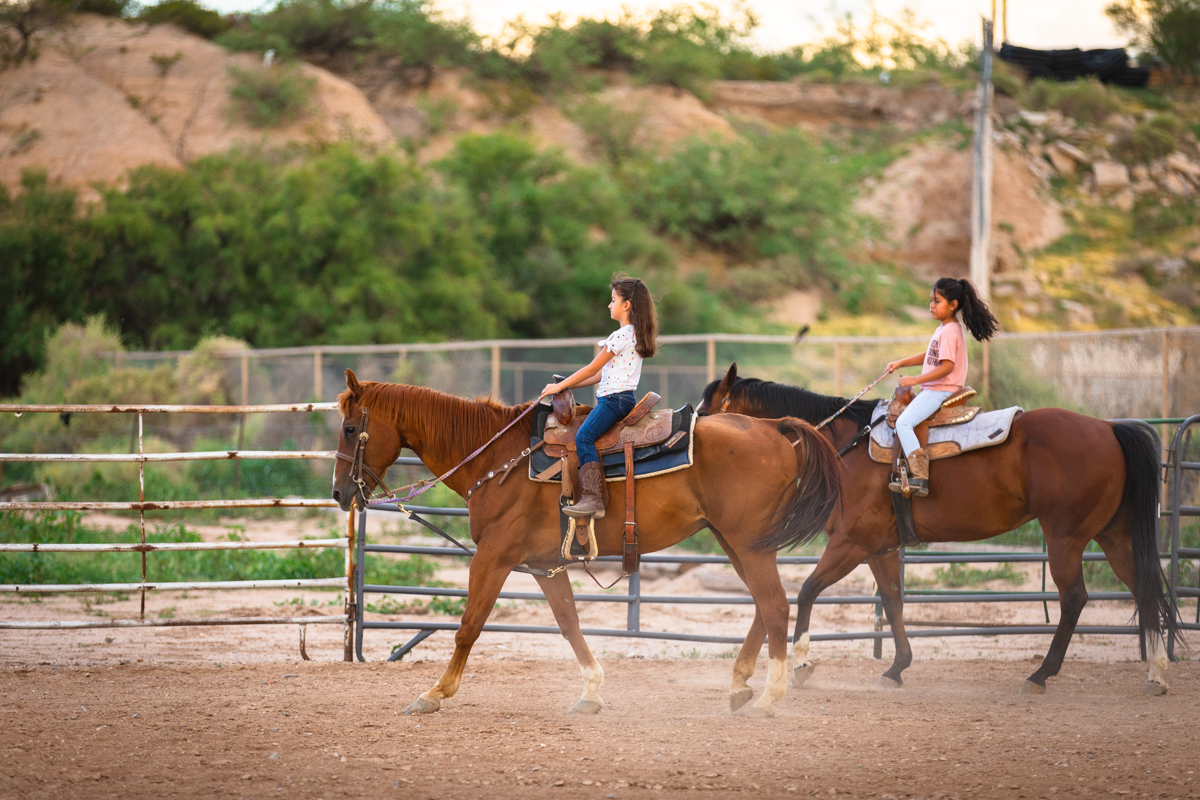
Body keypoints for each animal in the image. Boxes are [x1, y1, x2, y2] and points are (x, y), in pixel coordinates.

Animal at [331, 369, 842, 716]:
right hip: (736, 542)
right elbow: (569, 622)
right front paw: (591, 692)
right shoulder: (542, 564)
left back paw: (768, 698)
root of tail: (773, 428)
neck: (497, 459)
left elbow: (468, 626)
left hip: (748, 544)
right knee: (763, 606)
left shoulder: (494, 558)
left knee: (774, 606)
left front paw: (434, 693)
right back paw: (740, 687)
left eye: (351, 429)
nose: (339, 494)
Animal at [698, 363, 1184, 696]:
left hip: (1065, 537)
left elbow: (807, 591)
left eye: (708, 408)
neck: (843, 446)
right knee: (1142, 586)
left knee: (1074, 599)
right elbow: (893, 602)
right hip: (1112, 534)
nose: (691, 443)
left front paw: (801, 664)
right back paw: (1156, 673)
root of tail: (1109, 428)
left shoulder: (851, 542)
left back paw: (1041, 674)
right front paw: (897, 667)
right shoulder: (879, 548)